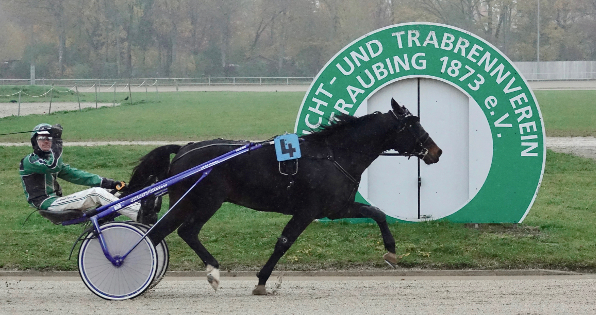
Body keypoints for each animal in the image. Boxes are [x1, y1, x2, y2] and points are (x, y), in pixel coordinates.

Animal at [124, 99, 442, 296]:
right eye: (414, 124)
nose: (436, 151)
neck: (333, 154)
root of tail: (184, 150)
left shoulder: (337, 207)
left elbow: (377, 212)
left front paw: (390, 251)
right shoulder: (308, 210)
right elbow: (284, 243)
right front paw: (262, 281)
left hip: (189, 201)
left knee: (161, 233)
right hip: (205, 201)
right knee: (185, 231)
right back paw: (210, 272)